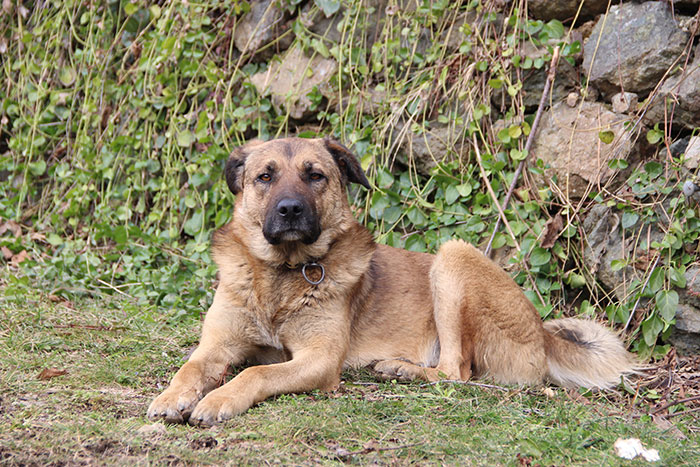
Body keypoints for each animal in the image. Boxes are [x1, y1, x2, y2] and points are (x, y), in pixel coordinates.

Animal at [146, 137, 636, 426]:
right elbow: (190, 367)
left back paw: (403, 369)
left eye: (315, 175)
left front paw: (219, 399)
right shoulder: (215, 346)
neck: (281, 273)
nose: (289, 210)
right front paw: (173, 395)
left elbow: (257, 372)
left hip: (453, 258)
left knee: (457, 372)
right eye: (265, 176)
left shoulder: (319, 360)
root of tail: (543, 331)